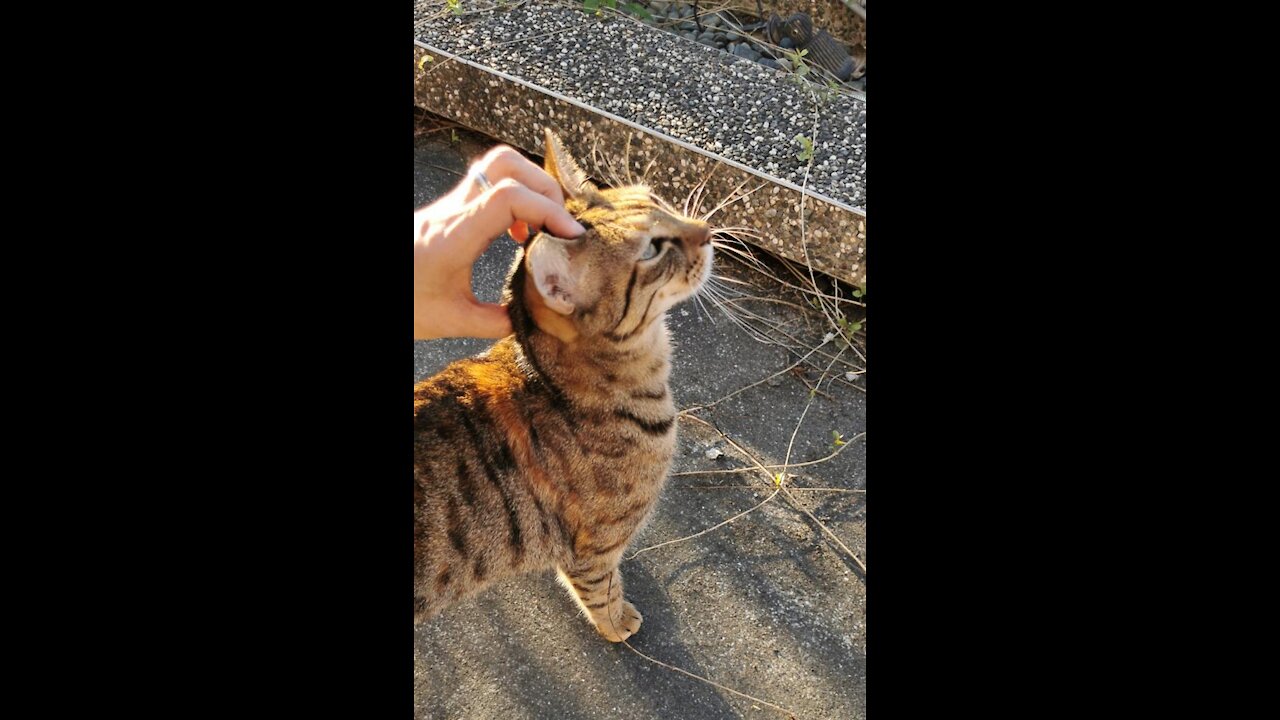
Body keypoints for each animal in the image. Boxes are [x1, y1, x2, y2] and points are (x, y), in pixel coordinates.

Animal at [412, 128, 716, 638]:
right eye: (651, 250)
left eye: (657, 200)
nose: (708, 231)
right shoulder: (595, 548)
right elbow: (602, 592)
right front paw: (619, 623)